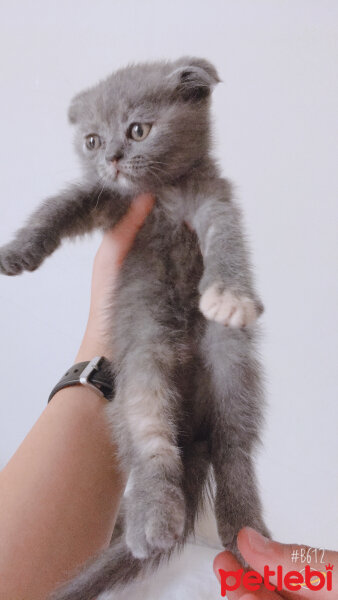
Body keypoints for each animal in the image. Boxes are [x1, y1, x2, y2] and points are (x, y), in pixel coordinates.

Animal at [0, 57, 270, 600]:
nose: (113, 158)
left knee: (235, 449)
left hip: (232, 364)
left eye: (138, 130)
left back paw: (245, 535)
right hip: (143, 356)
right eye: (91, 141)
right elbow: (62, 204)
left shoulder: (211, 200)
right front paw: (19, 251)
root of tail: (195, 430)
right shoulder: (107, 201)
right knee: (151, 445)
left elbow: (226, 241)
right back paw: (155, 521)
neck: (161, 196)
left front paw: (230, 296)